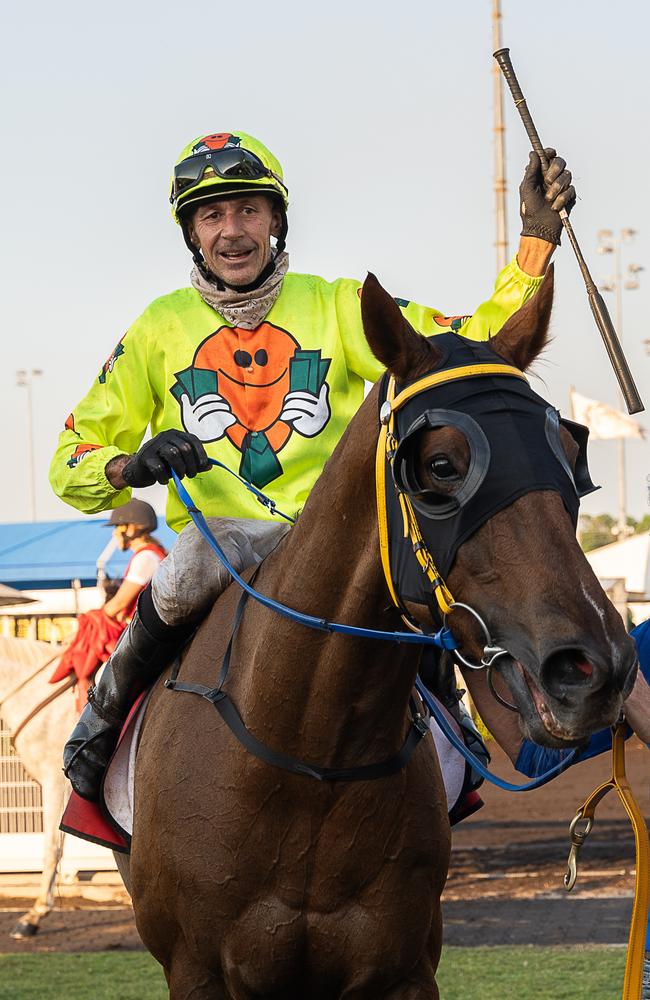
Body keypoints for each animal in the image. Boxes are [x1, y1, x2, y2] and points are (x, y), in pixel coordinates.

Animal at [121, 270, 632, 996]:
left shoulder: (403, 969)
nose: (595, 667)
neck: (312, 762)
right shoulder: (198, 971)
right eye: (442, 466)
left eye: (566, 453)